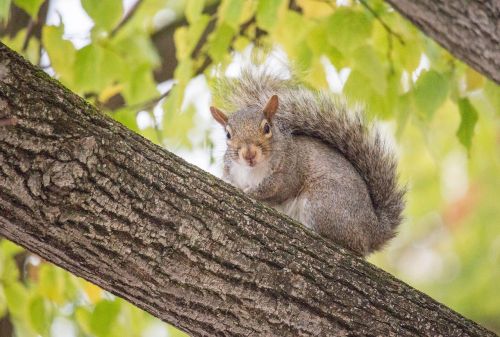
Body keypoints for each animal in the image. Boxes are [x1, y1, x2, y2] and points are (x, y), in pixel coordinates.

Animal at [209, 67, 404, 255]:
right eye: (228, 135)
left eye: (267, 128)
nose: (249, 154)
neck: (252, 170)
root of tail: (374, 229)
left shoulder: (290, 170)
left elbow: (276, 189)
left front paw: (251, 192)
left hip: (323, 202)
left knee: (352, 246)